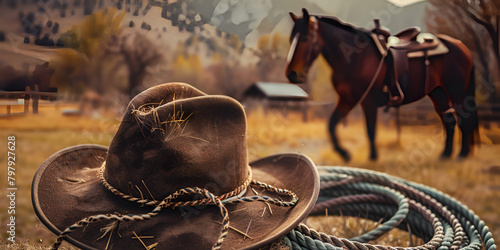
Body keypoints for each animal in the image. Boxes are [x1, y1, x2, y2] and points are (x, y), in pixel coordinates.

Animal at [286, 8, 476, 162]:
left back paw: (462, 155)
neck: (355, 57)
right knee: (449, 120)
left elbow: (370, 131)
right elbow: (332, 125)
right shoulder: (348, 99)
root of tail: (461, 46)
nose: (292, 74)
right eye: (291, 39)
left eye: (305, 38)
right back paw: (445, 155)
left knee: (463, 119)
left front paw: (372, 158)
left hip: (457, 92)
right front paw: (345, 154)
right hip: (438, 92)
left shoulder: (367, 101)